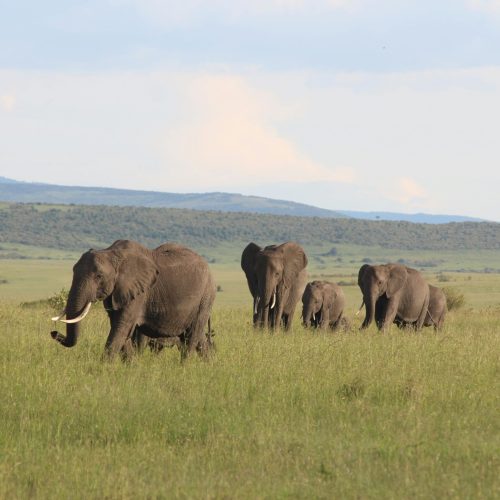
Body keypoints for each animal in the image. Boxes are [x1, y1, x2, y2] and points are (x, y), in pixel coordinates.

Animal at [48, 240, 217, 362]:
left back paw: (183, 367)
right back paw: (208, 366)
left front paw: (102, 370)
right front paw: (132, 367)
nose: (53, 332)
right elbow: (120, 328)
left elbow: (122, 326)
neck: (111, 252)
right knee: (199, 338)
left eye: (99, 276)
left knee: (191, 336)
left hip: (205, 297)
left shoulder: (140, 293)